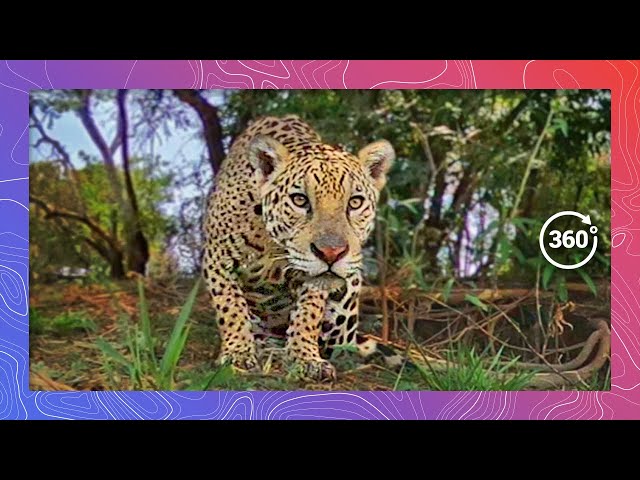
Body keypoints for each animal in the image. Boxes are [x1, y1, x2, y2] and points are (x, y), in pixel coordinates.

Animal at [202, 114, 402, 382]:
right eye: (300, 200)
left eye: (355, 202)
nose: (331, 253)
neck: (273, 243)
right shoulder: (218, 258)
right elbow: (230, 307)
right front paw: (238, 353)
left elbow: (308, 315)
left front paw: (305, 357)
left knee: (335, 344)